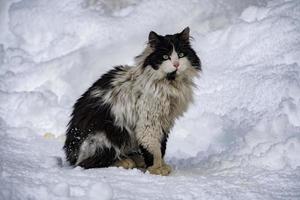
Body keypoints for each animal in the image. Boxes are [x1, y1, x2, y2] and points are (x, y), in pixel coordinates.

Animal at [64, 27, 203, 175]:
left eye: (181, 55)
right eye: (165, 57)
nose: (176, 64)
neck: (169, 83)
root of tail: (71, 155)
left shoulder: (164, 122)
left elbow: (162, 147)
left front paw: (161, 165)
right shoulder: (148, 123)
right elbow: (154, 150)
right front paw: (156, 169)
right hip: (108, 135)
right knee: (90, 163)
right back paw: (125, 162)